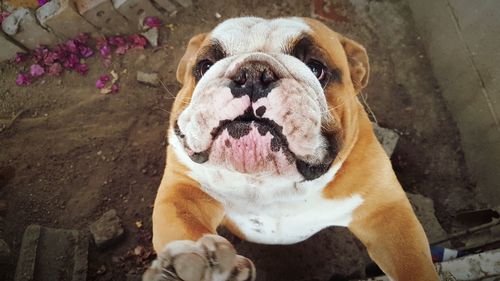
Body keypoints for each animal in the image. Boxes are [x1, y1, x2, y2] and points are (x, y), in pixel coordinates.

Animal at [143, 16, 440, 278]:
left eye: (316, 68)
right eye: (205, 65)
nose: (252, 73)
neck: (269, 181)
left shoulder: (386, 214)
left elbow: (412, 263)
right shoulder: (183, 193)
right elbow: (187, 234)